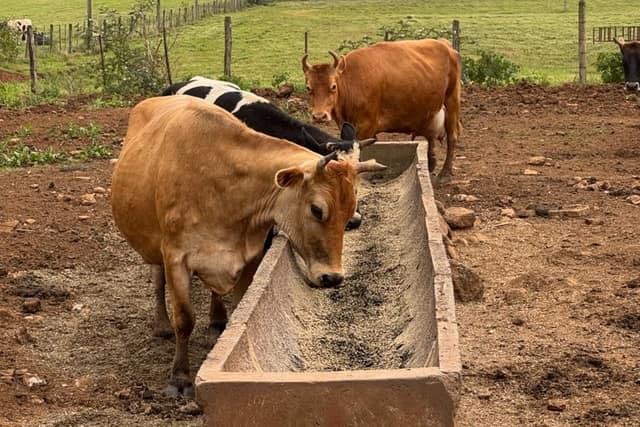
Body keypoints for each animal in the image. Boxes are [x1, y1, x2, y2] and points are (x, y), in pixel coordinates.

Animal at [111, 95, 385, 395]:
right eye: (316, 209)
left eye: (349, 211)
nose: (333, 277)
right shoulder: (175, 257)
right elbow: (184, 319)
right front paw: (179, 378)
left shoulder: (251, 256)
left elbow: (239, 309)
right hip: (153, 245)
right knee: (158, 281)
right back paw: (161, 325)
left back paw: (215, 321)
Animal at [302, 38, 462, 183]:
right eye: (308, 88)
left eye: (333, 86)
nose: (319, 116)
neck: (351, 81)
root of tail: (445, 44)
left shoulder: (366, 127)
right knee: (430, 136)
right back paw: (431, 163)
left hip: (452, 101)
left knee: (452, 137)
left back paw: (445, 173)